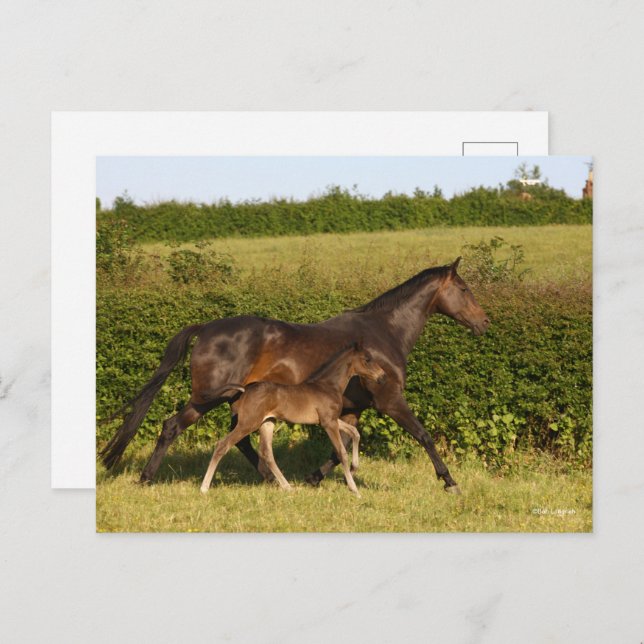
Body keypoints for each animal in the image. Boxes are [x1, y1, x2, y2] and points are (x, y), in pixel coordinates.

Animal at [199, 343, 387, 496]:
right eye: (367, 359)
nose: (382, 376)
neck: (328, 386)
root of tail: (245, 390)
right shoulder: (328, 423)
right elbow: (341, 452)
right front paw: (354, 489)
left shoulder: (331, 420)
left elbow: (355, 433)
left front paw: (355, 467)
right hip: (248, 423)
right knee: (223, 445)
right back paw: (204, 487)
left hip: (267, 422)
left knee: (267, 453)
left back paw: (288, 487)